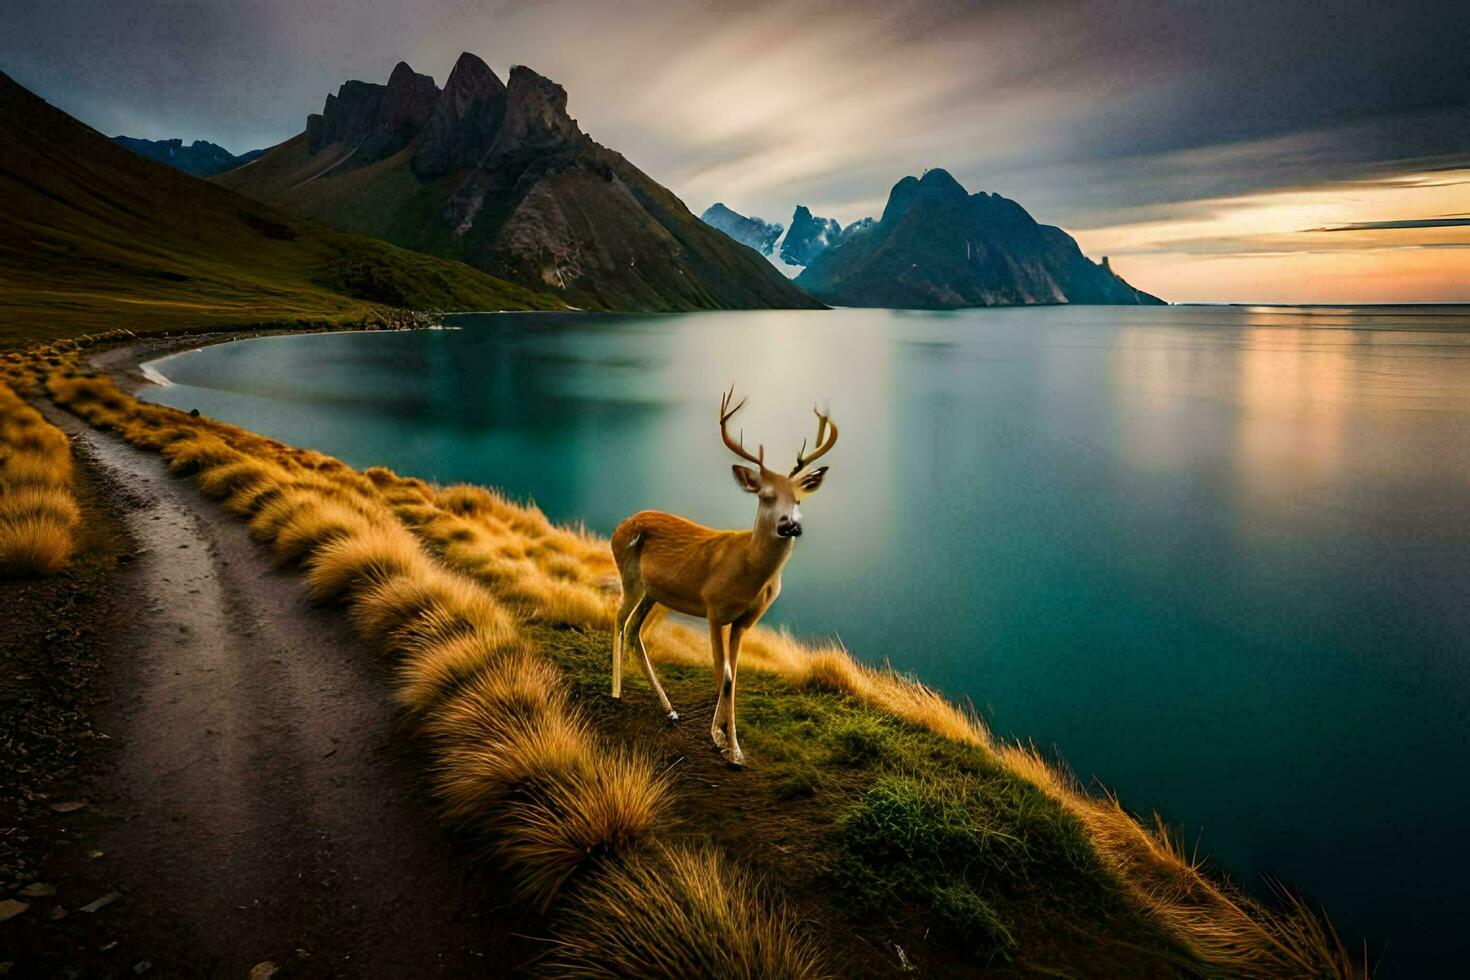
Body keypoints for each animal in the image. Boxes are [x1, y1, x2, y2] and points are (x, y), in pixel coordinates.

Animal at [608, 384, 840, 764]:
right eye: (765, 496)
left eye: (798, 500)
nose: (789, 525)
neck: (750, 572)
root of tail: (621, 525)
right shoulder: (713, 606)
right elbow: (724, 675)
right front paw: (723, 743)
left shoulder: (745, 621)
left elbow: (734, 677)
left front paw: (732, 746)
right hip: (630, 576)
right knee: (617, 618)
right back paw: (614, 693)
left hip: (655, 593)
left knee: (634, 630)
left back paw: (669, 709)